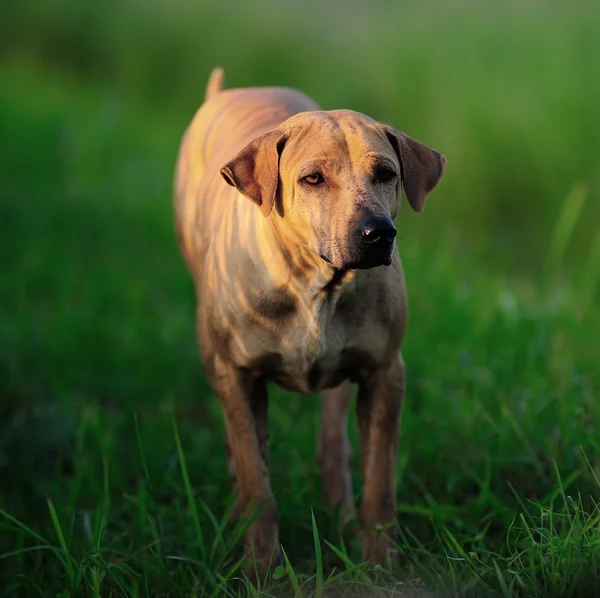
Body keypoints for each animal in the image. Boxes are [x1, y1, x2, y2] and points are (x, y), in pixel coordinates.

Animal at [173, 67, 446, 576]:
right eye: (313, 178)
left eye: (386, 174)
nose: (377, 233)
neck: (314, 285)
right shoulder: (238, 375)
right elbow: (257, 484)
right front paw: (260, 568)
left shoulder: (385, 374)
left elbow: (380, 484)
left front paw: (381, 562)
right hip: (210, 346)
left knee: (332, 442)